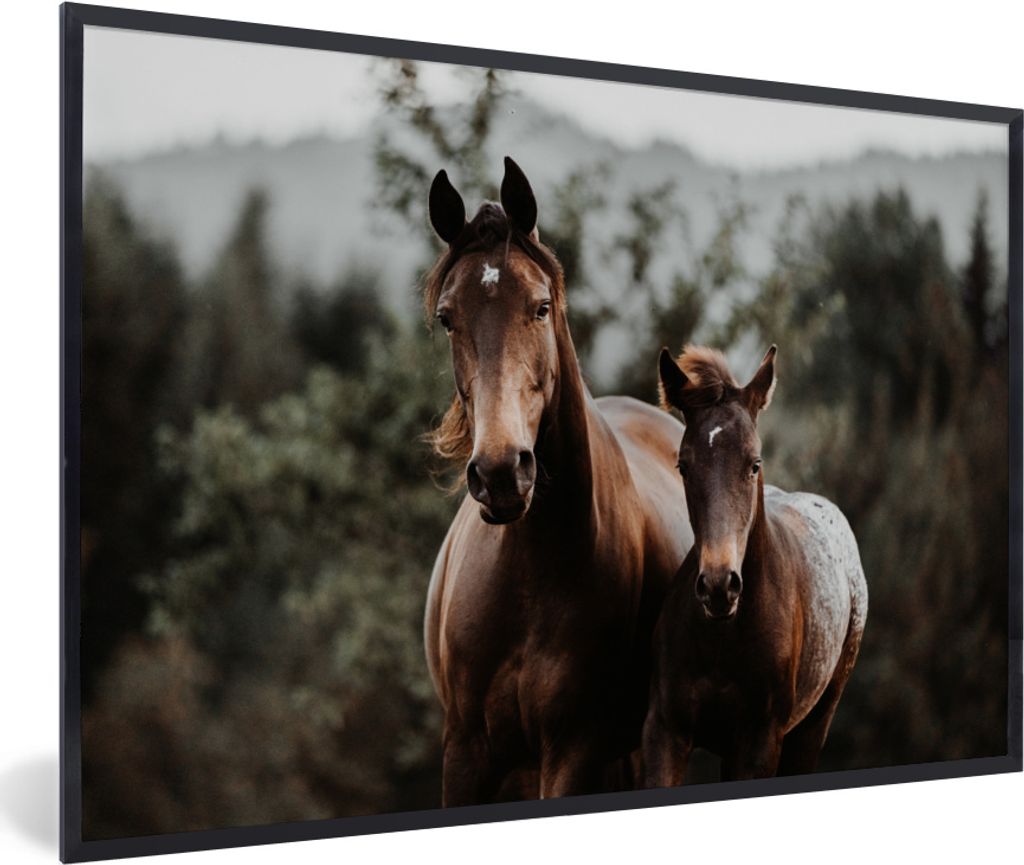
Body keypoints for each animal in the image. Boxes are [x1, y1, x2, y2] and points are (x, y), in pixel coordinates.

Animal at [422, 157, 693, 805]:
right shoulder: (464, 752)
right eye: (447, 319)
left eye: (541, 306)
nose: (501, 473)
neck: (529, 569)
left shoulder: (572, 750)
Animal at [643, 344, 868, 782]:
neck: (723, 636)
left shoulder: (757, 744)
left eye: (754, 463)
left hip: (812, 727)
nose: (718, 586)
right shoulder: (666, 731)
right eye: (683, 465)